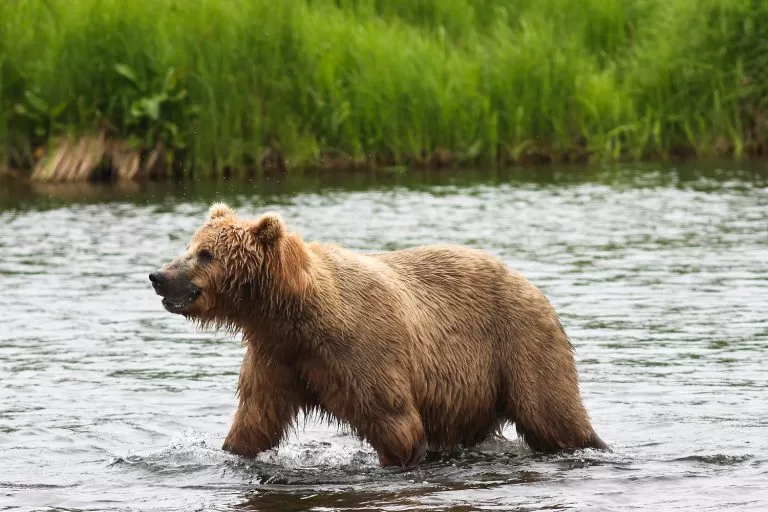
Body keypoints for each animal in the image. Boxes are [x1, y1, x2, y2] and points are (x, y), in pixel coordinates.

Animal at [148, 202, 608, 466]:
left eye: (206, 254)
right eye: (189, 246)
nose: (159, 277)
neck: (294, 312)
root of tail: (532, 286)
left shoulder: (360, 351)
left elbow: (394, 423)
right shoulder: (278, 356)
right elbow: (255, 419)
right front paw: (229, 449)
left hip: (520, 341)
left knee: (551, 411)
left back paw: (591, 444)